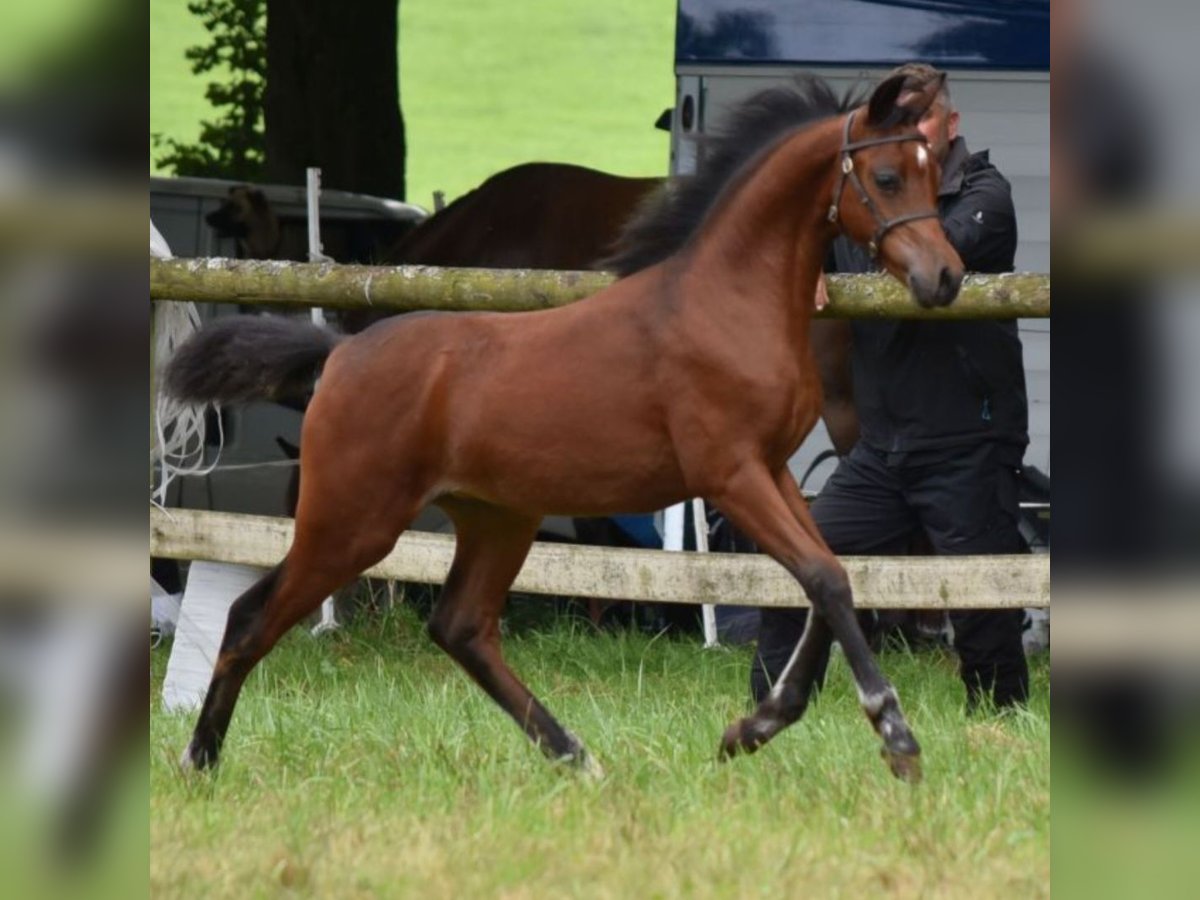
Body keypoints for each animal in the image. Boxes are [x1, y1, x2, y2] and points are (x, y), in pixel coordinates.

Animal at [164, 74, 960, 787]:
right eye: (888, 176)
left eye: (934, 173)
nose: (945, 278)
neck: (726, 300)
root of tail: (337, 355)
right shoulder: (731, 474)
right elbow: (823, 577)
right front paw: (893, 736)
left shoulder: (774, 471)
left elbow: (834, 577)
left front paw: (754, 727)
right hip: (352, 522)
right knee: (249, 617)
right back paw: (198, 761)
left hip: (497, 519)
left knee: (460, 627)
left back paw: (577, 757)